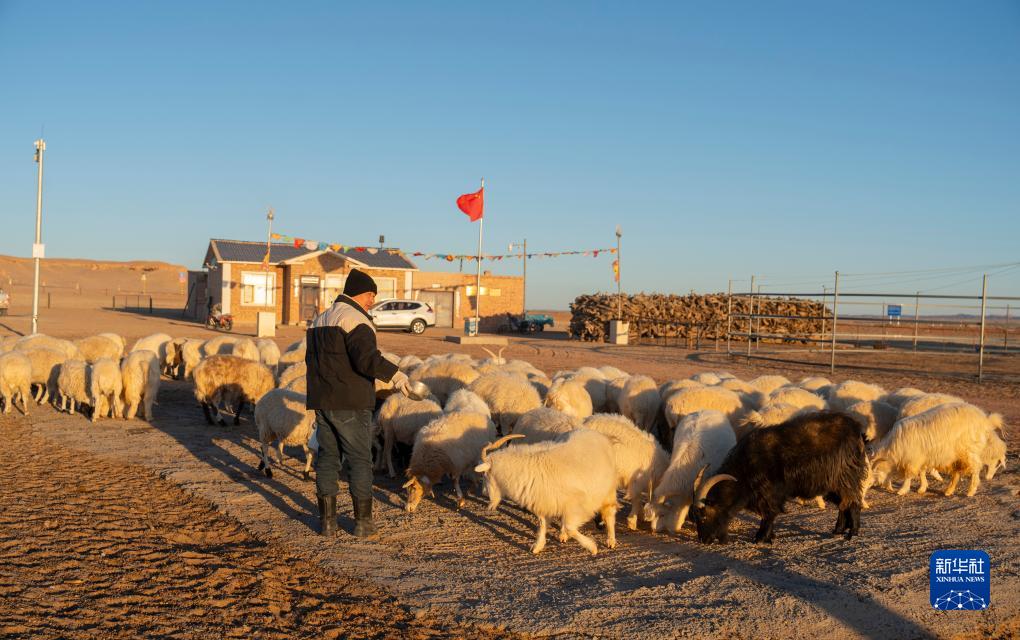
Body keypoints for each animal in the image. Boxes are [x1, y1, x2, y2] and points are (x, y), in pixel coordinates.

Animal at [473, 430, 616, 555]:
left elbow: (570, 528)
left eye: (484, 474)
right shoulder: (544, 502)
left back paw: (611, 541)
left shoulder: (577, 503)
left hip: (607, 491)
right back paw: (562, 535)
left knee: (609, 513)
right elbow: (543, 525)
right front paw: (537, 547)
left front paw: (592, 548)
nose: (484, 492)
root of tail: (601, 436)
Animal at [689, 412, 864, 543]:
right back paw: (838, 530)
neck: (744, 468)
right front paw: (768, 536)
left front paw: (761, 538)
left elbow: (769, 514)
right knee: (843, 504)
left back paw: (852, 533)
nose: (704, 540)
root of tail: (856, 428)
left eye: (703, 515)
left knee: (853, 502)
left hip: (845, 479)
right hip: (832, 485)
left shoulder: (769, 493)